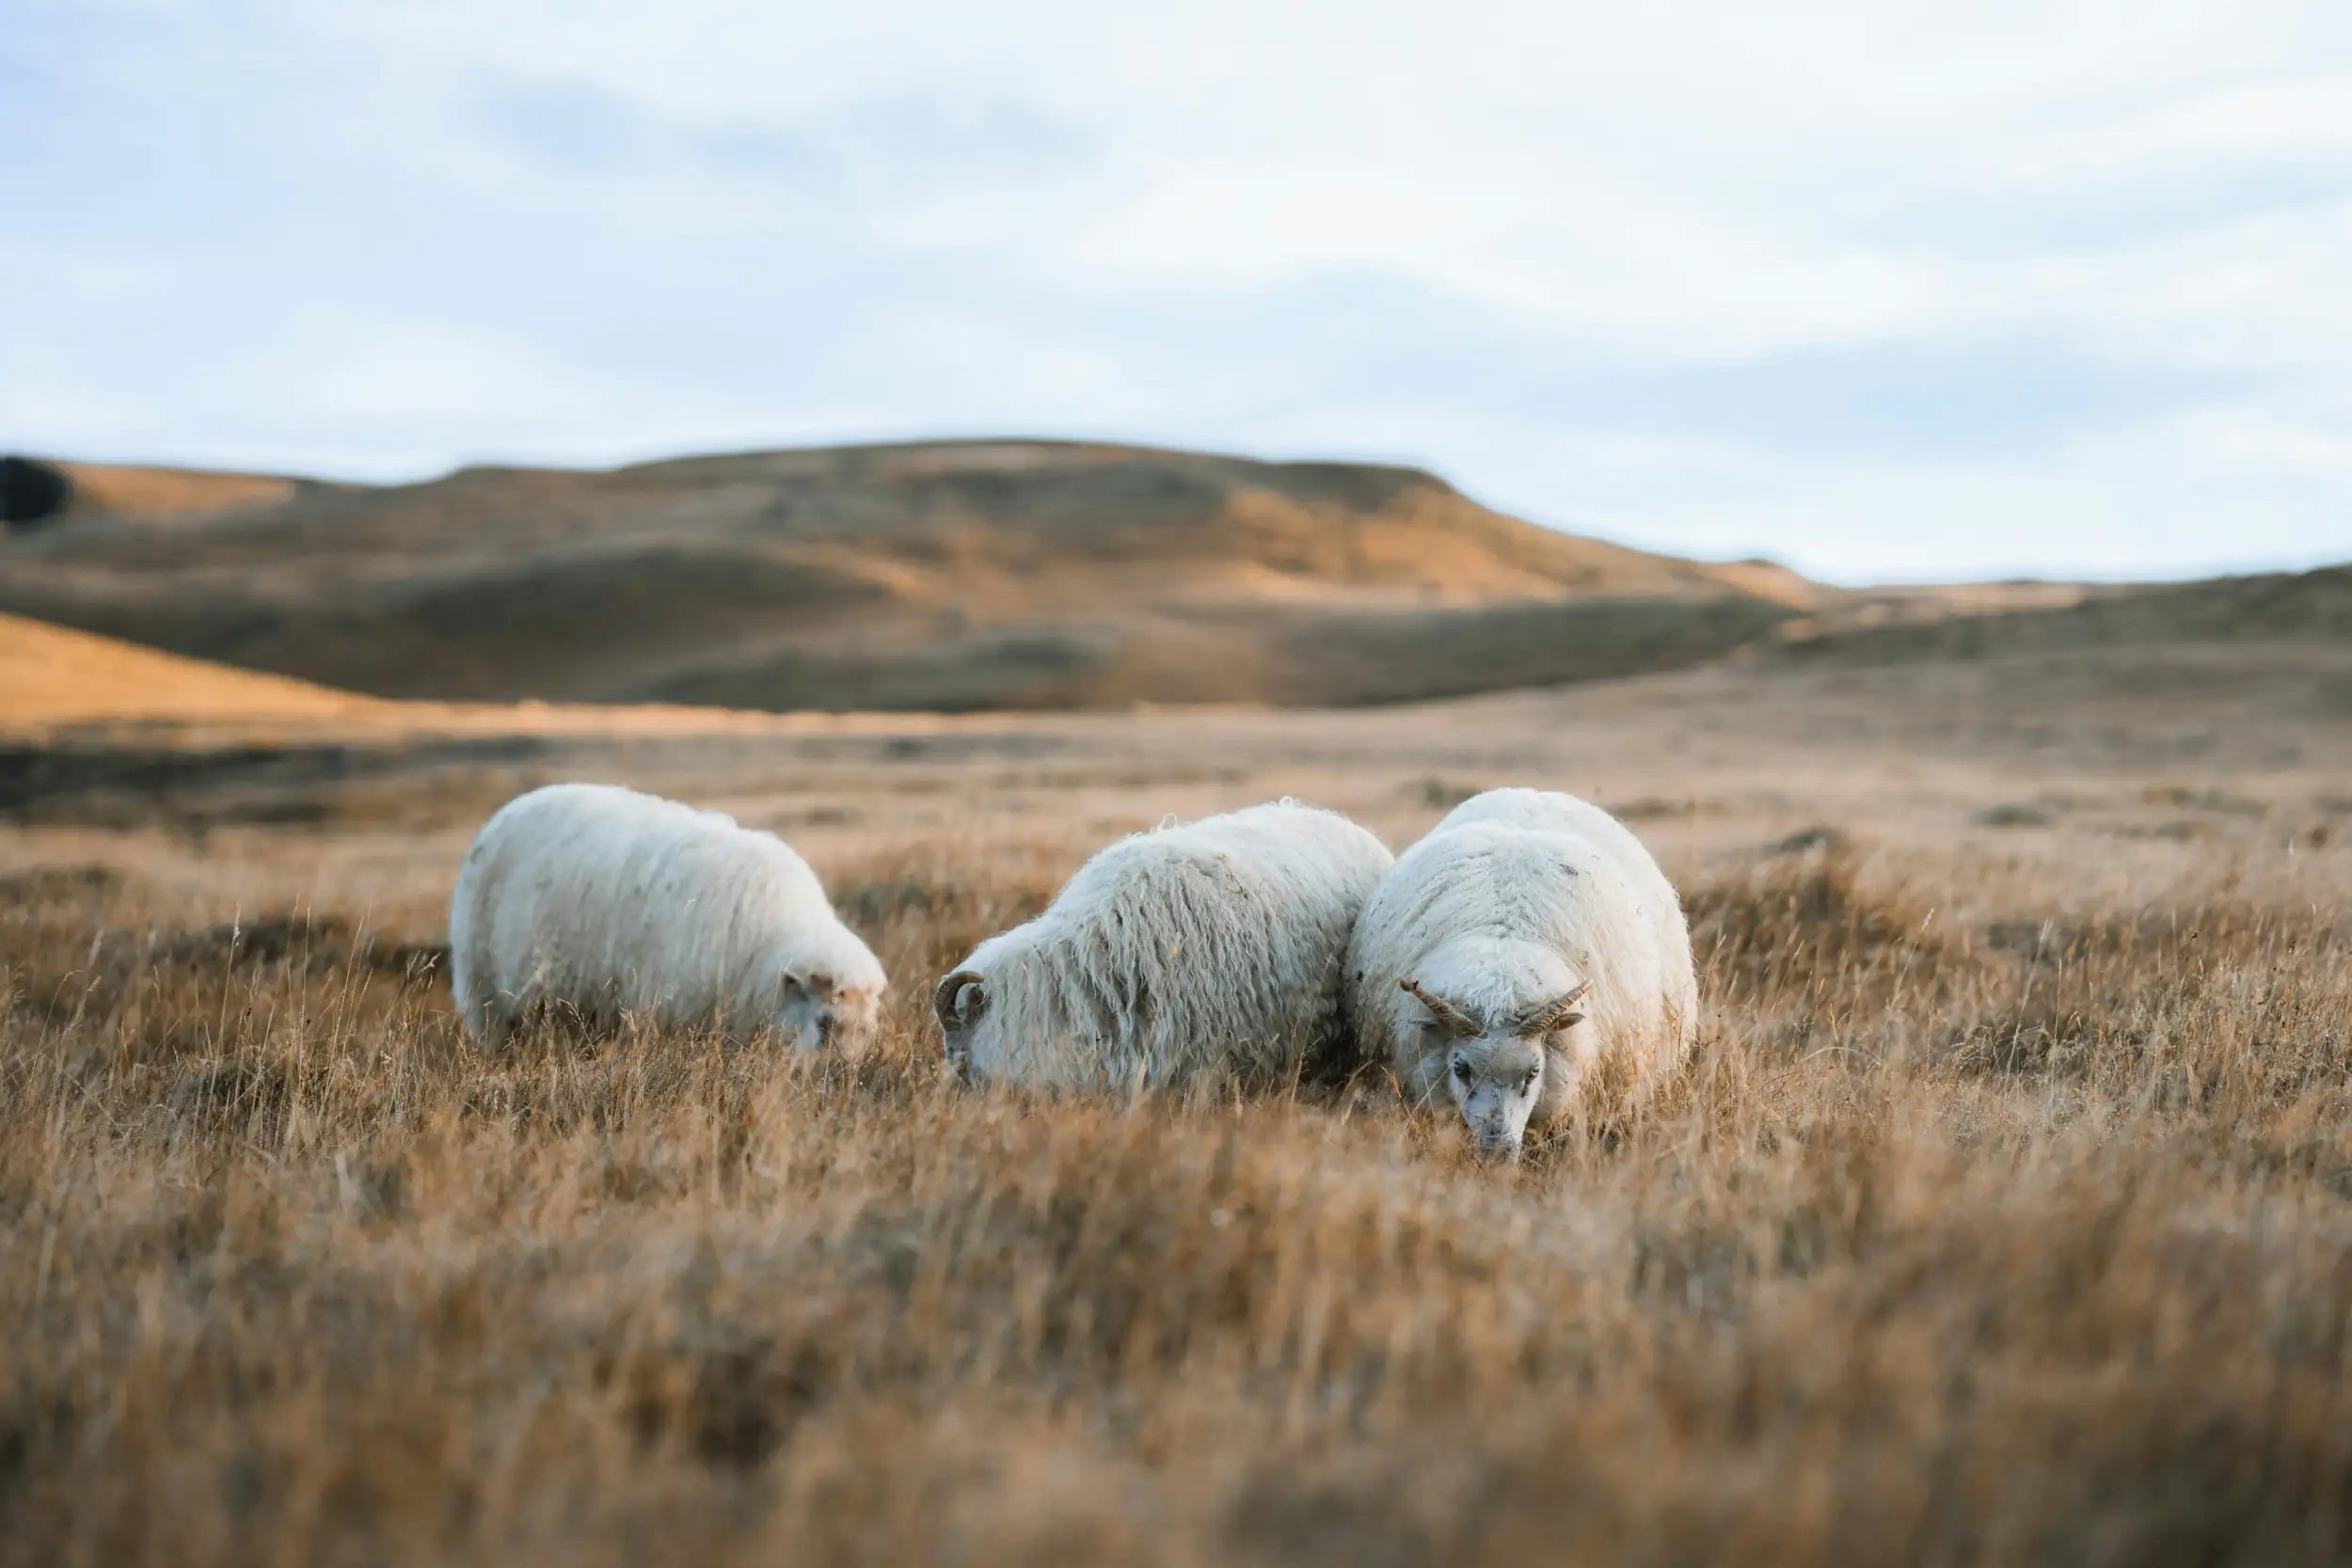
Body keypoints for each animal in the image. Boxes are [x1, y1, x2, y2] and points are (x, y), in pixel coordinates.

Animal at [449, 782, 884, 1050]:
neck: (766, 944)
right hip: (485, 988)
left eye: (867, 1030)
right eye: (825, 1021)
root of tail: (509, 808)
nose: (843, 1078)